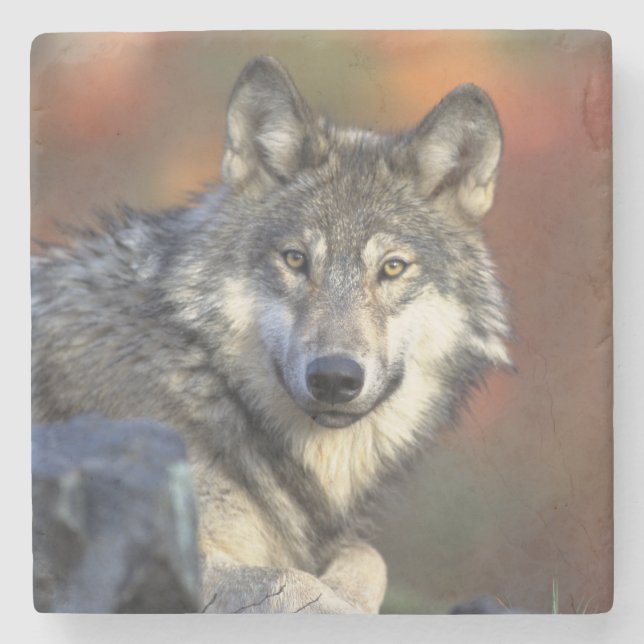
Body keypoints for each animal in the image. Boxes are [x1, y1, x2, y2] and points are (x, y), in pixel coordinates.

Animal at [31, 55, 511, 613]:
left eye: (392, 267)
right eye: (295, 259)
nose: (334, 378)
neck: (206, 379)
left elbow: (368, 556)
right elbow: (295, 582)